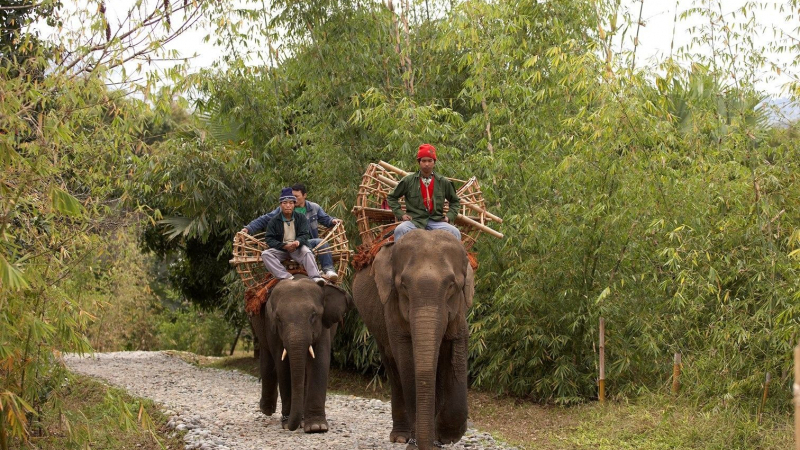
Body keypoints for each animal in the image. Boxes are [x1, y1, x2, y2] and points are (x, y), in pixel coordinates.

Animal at [249, 275, 352, 432]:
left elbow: (319, 361)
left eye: (313, 315)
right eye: (278, 318)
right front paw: (287, 423)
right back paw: (267, 410)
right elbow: (283, 366)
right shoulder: (271, 327)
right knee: (267, 360)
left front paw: (316, 427)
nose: (291, 424)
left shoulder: (323, 326)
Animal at [352, 229, 474, 450]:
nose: (429, 444)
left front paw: (445, 437)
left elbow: (457, 346)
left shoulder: (460, 308)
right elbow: (407, 360)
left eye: (452, 285)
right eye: (403, 286)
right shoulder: (391, 305)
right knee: (393, 366)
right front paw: (419, 442)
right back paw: (401, 437)